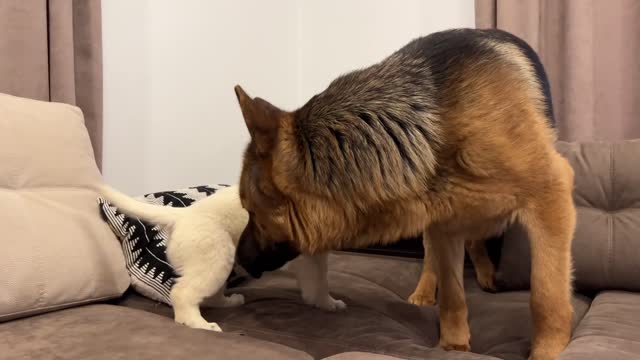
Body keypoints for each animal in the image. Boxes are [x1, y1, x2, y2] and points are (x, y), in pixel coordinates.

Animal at [97, 184, 248, 330]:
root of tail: (184, 213)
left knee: (211, 297)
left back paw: (232, 302)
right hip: (218, 260)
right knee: (183, 294)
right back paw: (201, 325)